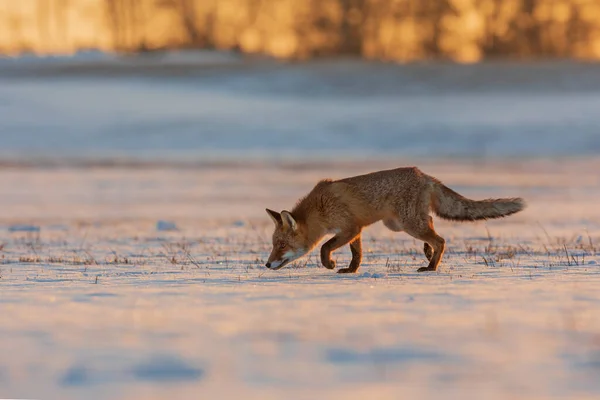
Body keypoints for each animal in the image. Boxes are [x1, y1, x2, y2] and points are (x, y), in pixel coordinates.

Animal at [266, 165, 524, 272]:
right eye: (274, 245)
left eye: (282, 245)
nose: (267, 264)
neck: (320, 208)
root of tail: (424, 175)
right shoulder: (356, 230)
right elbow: (357, 255)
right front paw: (350, 270)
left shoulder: (349, 228)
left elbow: (324, 247)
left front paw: (329, 264)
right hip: (398, 224)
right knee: (432, 224)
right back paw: (427, 252)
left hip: (407, 224)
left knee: (440, 239)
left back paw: (430, 266)